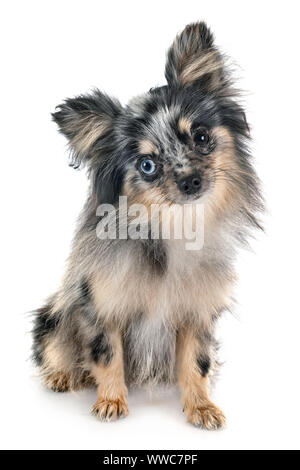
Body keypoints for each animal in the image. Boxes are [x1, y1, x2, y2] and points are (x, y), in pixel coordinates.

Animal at [32, 22, 262, 430]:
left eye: (201, 136)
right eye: (148, 165)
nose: (190, 182)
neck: (174, 226)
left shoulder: (196, 314)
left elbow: (197, 363)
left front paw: (200, 405)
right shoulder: (101, 306)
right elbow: (107, 355)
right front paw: (111, 401)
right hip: (55, 316)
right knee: (56, 347)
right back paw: (61, 375)